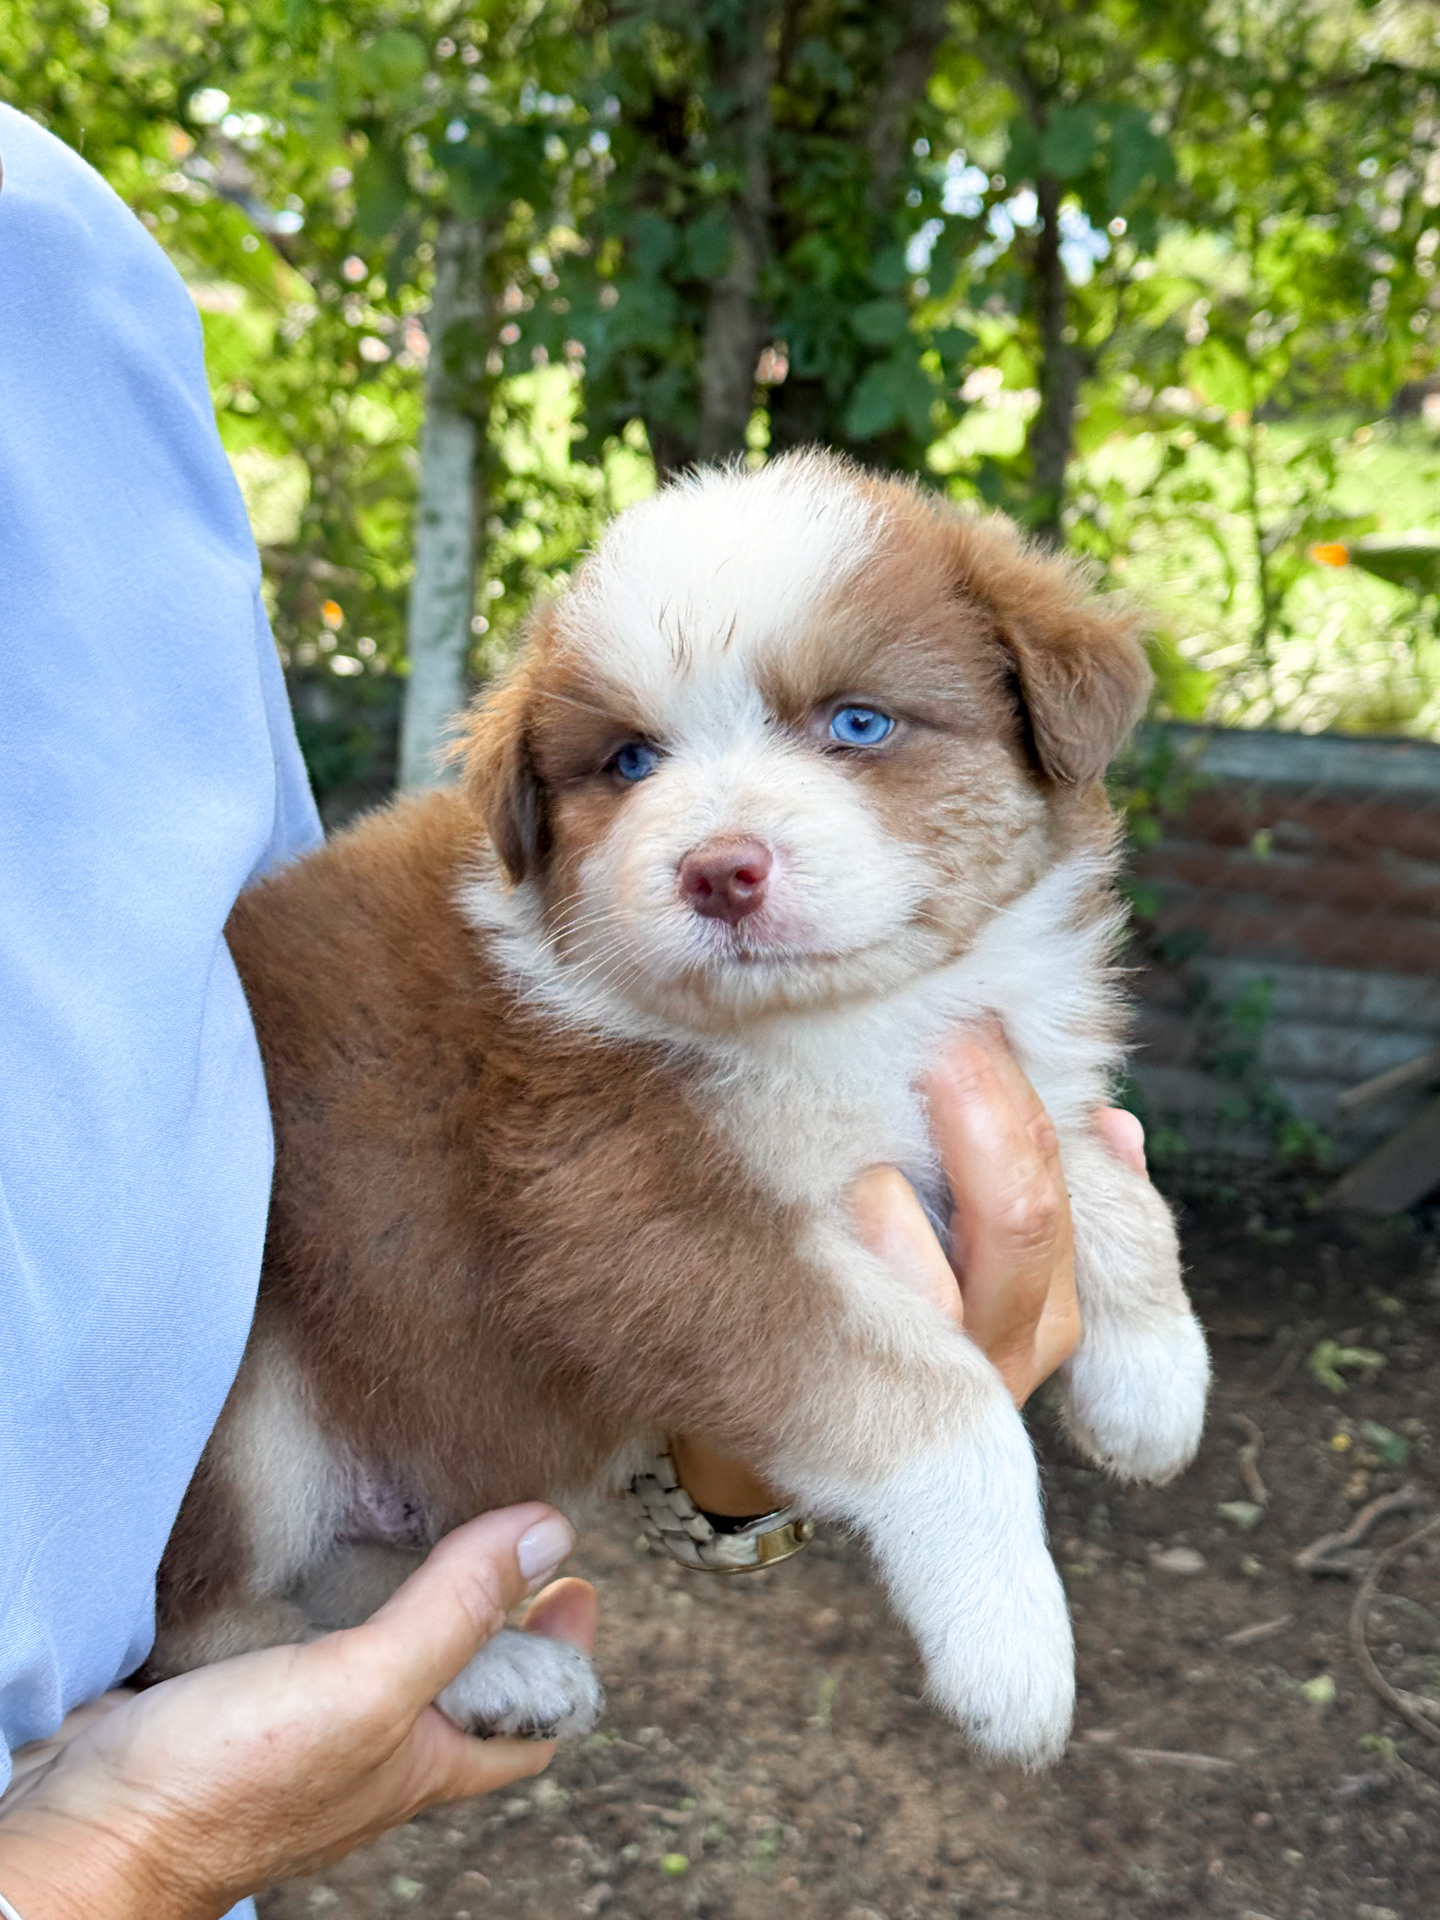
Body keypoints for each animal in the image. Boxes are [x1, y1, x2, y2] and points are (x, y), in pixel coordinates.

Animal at [149, 451, 1209, 1769]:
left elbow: (1108, 1181)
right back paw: (472, 1664)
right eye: (629, 763)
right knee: (201, 1633)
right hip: (245, 1396)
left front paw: (1154, 1382)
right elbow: (940, 1396)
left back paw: (497, 1669)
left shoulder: (980, 1086)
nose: (719, 870)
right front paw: (1010, 1654)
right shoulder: (636, 1220)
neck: (844, 1021)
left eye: (858, 724)